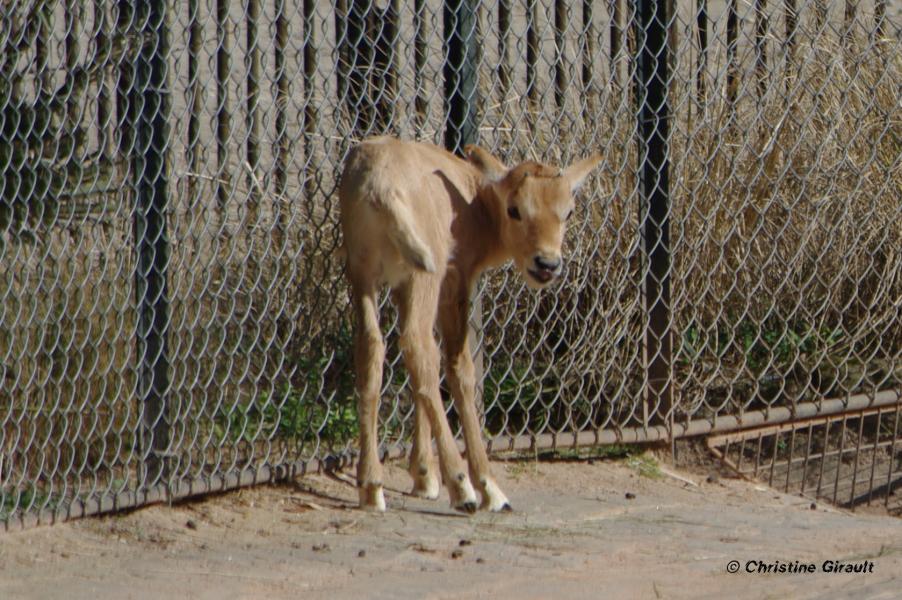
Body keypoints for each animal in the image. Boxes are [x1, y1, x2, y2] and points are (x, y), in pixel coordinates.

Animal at [342, 136, 604, 510]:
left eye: (567, 211)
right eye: (514, 209)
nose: (547, 264)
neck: (472, 201)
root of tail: (376, 185)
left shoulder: (399, 285)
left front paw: (423, 477)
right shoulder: (456, 279)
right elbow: (460, 368)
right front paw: (486, 489)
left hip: (362, 272)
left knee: (373, 347)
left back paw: (371, 487)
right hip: (426, 270)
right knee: (418, 345)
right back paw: (465, 488)